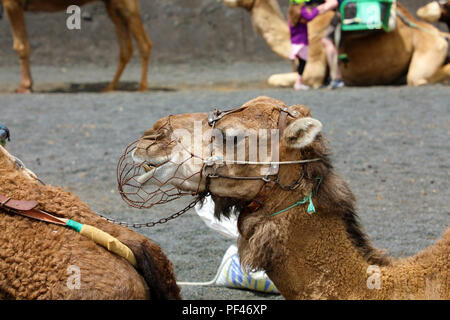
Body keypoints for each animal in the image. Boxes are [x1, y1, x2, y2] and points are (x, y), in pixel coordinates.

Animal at [0, 0, 153, 92]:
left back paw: (141, 88)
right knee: (126, 48)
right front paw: (28, 85)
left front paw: (24, 87)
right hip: (111, 5)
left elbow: (21, 45)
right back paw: (110, 87)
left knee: (144, 43)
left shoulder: (12, 3)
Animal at [221, 0, 450, 87]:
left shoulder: (313, 67)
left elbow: (276, 79)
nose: (224, 1)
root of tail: (439, 34)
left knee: (418, 78)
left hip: (428, 50)